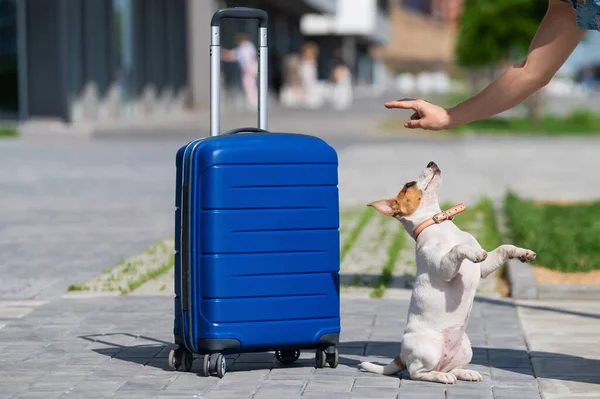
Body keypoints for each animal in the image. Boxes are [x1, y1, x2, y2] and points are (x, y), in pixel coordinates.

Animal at [358, 162, 536, 384]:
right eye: (408, 184)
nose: (431, 163)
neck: (438, 225)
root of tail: (401, 355)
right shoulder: (445, 269)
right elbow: (457, 249)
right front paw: (474, 253)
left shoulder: (484, 269)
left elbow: (505, 247)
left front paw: (523, 253)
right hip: (428, 350)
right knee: (416, 372)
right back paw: (441, 376)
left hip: (466, 349)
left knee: (451, 367)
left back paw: (465, 373)